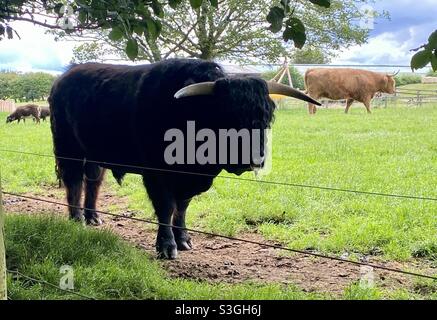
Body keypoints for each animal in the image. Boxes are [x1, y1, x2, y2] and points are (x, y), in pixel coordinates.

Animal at [49, 58, 320, 260]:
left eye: (266, 115)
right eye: (228, 116)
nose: (255, 158)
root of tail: (65, 77)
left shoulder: (188, 180)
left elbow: (182, 208)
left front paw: (184, 240)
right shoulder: (157, 174)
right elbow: (166, 208)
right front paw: (166, 246)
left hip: (94, 154)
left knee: (93, 181)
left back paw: (92, 217)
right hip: (69, 148)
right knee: (74, 181)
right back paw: (76, 219)